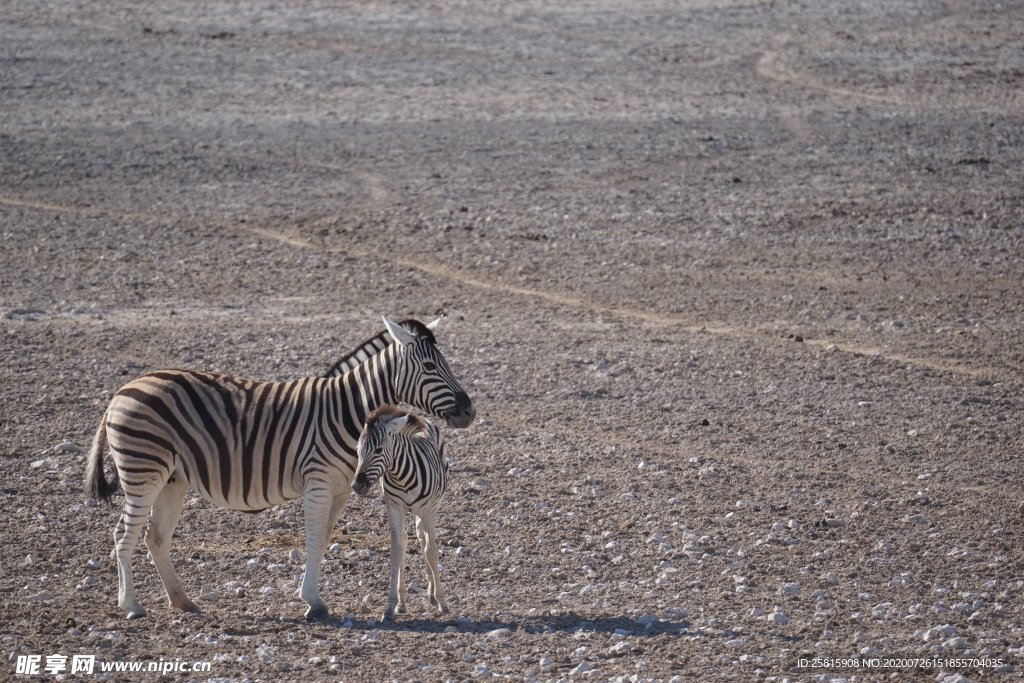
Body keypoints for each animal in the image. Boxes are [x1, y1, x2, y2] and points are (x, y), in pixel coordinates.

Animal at [352, 405, 448, 626]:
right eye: (357, 450)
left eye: (378, 450)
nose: (357, 486)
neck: (402, 476)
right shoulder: (394, 507)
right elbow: (397, 551)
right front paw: (391, 606)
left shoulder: (428, 511)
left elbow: (432, 551)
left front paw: (442, 602)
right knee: (408, 539)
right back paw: (404, 600)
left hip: (431, 508)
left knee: (424, 541)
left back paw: (432, 593)